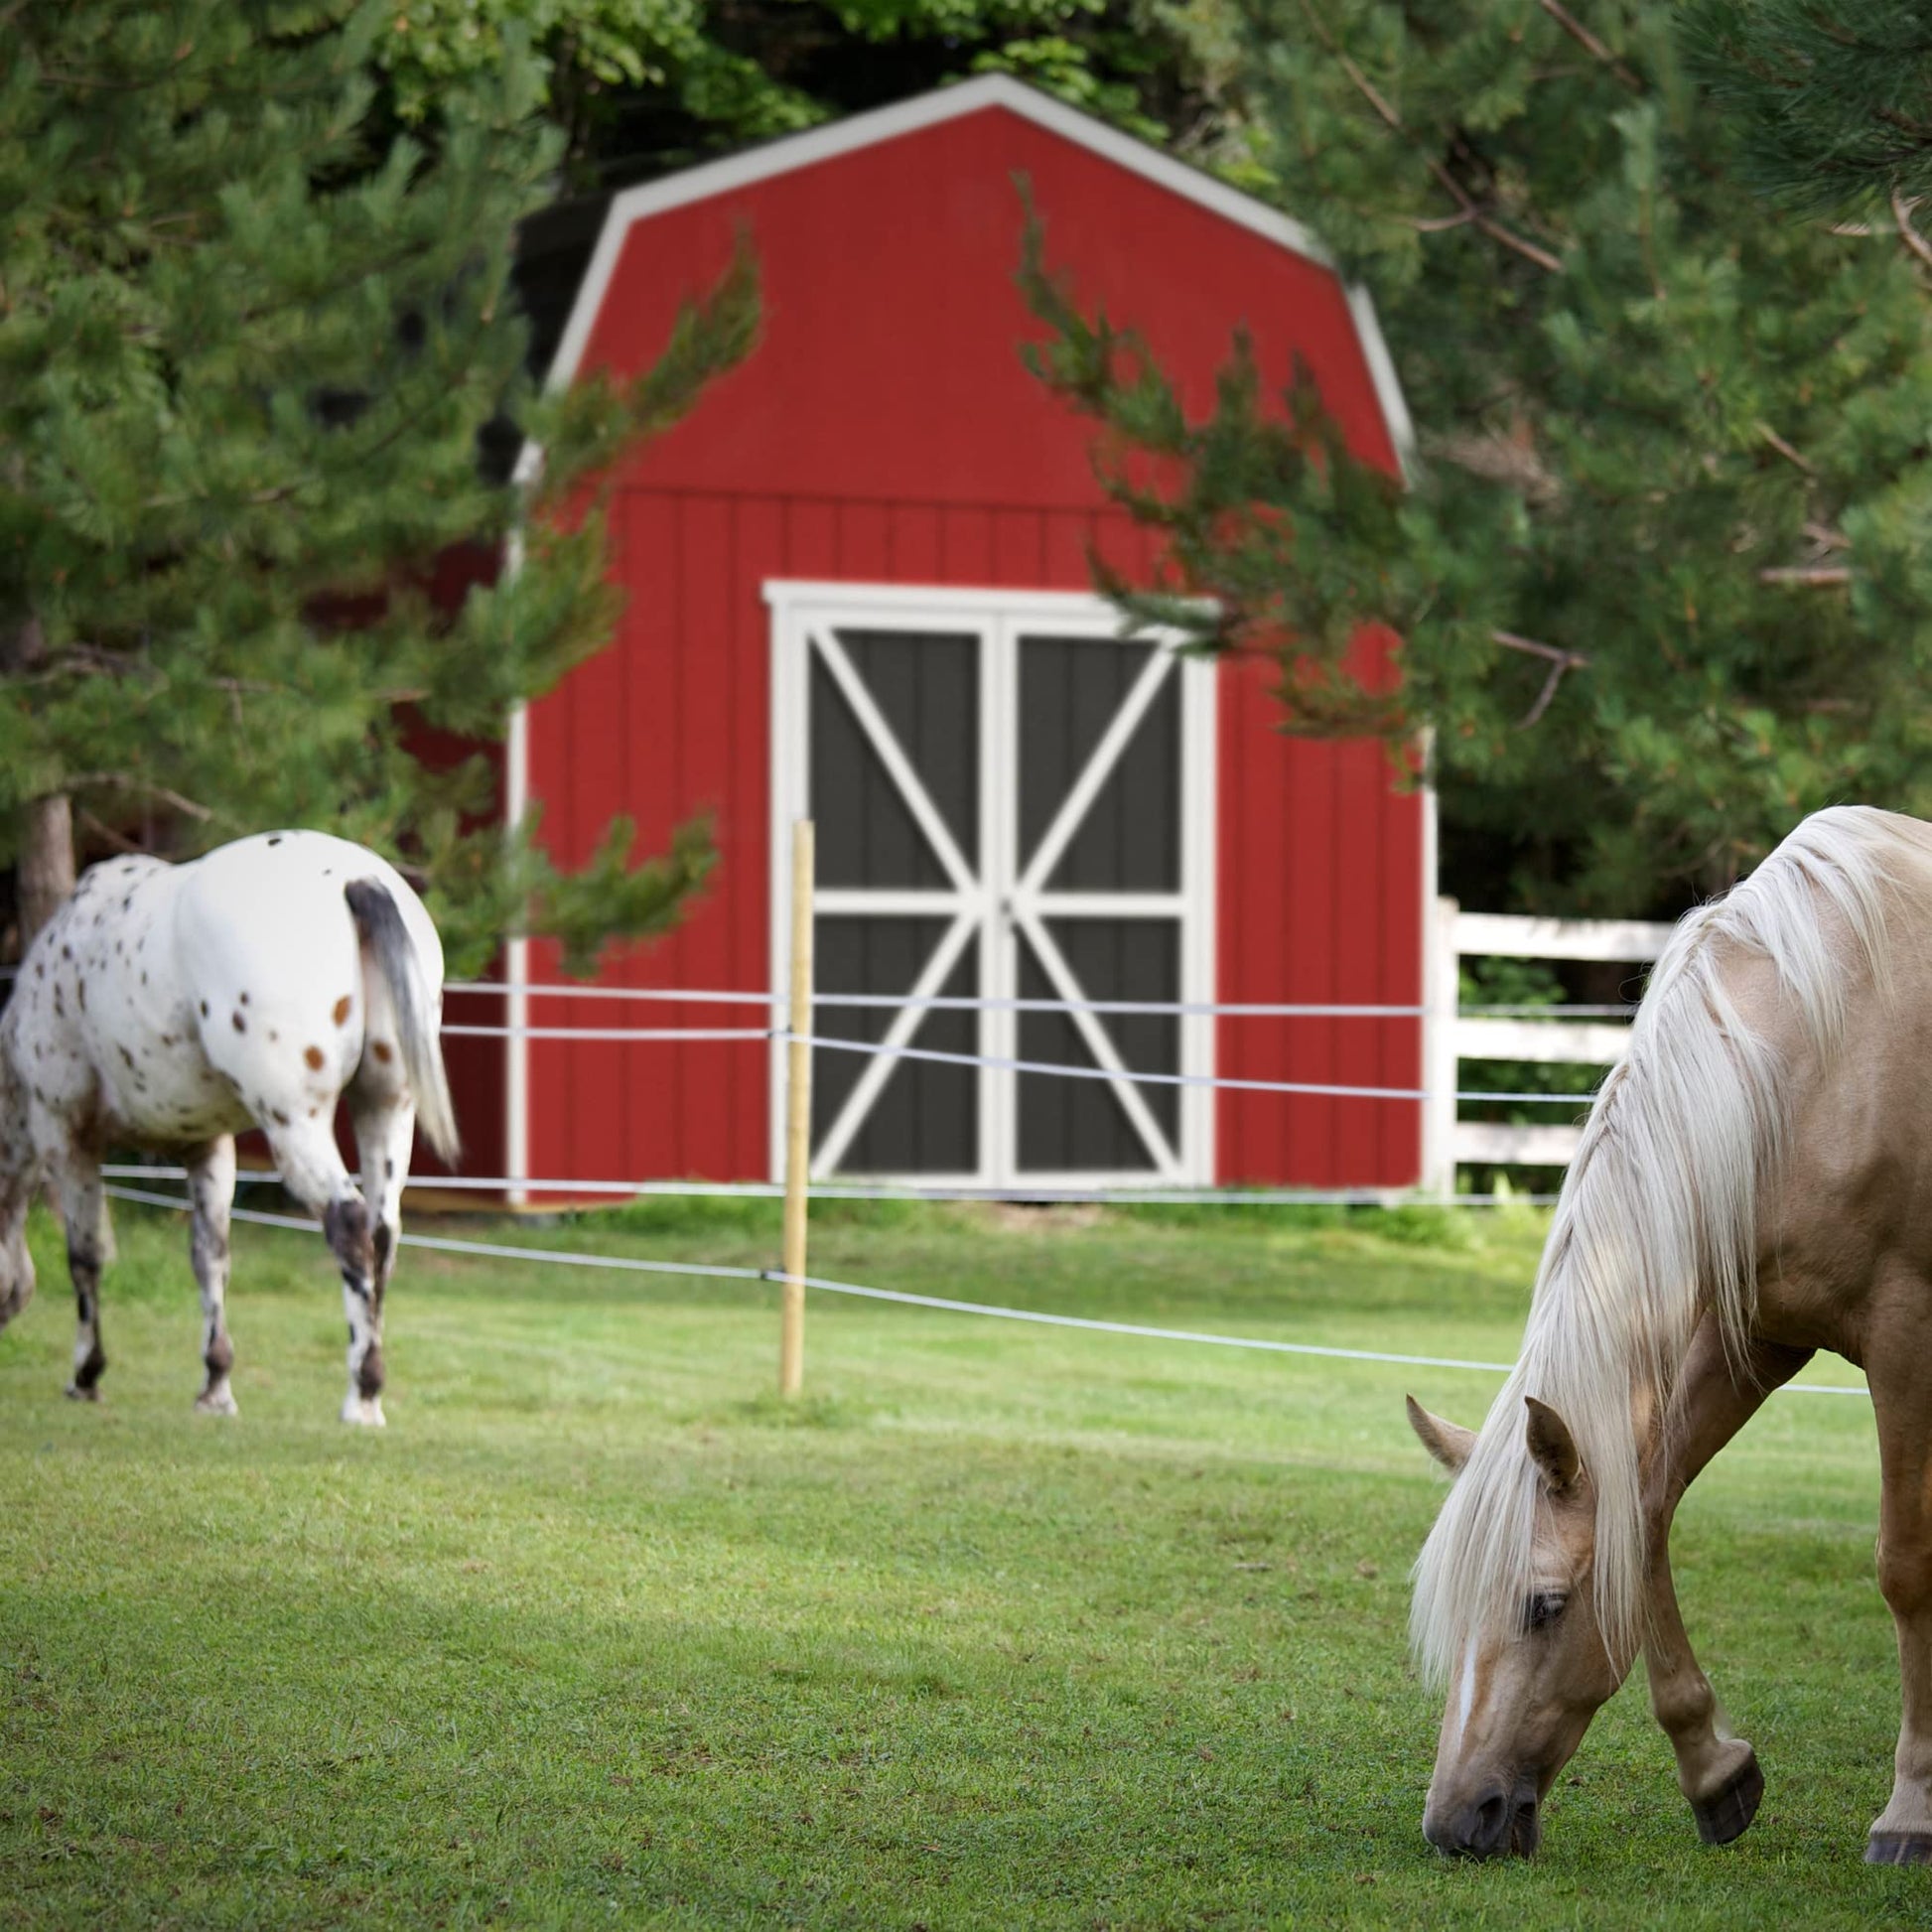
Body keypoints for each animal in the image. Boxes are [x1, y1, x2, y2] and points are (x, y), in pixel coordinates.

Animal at [0, 822, 456, 1430]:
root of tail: (358, 881)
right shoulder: (208, 1145)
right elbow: (209, 1257)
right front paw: (215, 1388)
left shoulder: (64, 1135)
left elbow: (87, 1255)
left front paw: (86, 1375)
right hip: (386, 1108)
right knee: (383, 1234)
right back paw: (371, 1390)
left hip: (296, 1122)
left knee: (350, 1224)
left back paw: (360, 1396)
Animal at [1398, 799, 1932, 1855]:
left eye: (1543, 1606)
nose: (1456, 1821)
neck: (1826, 1055)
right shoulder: (1752, 1338)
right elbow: (1644, 1520)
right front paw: (1714, 1768)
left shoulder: (1904, 1340)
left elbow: (1905, 1566)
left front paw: (1913, 1808)